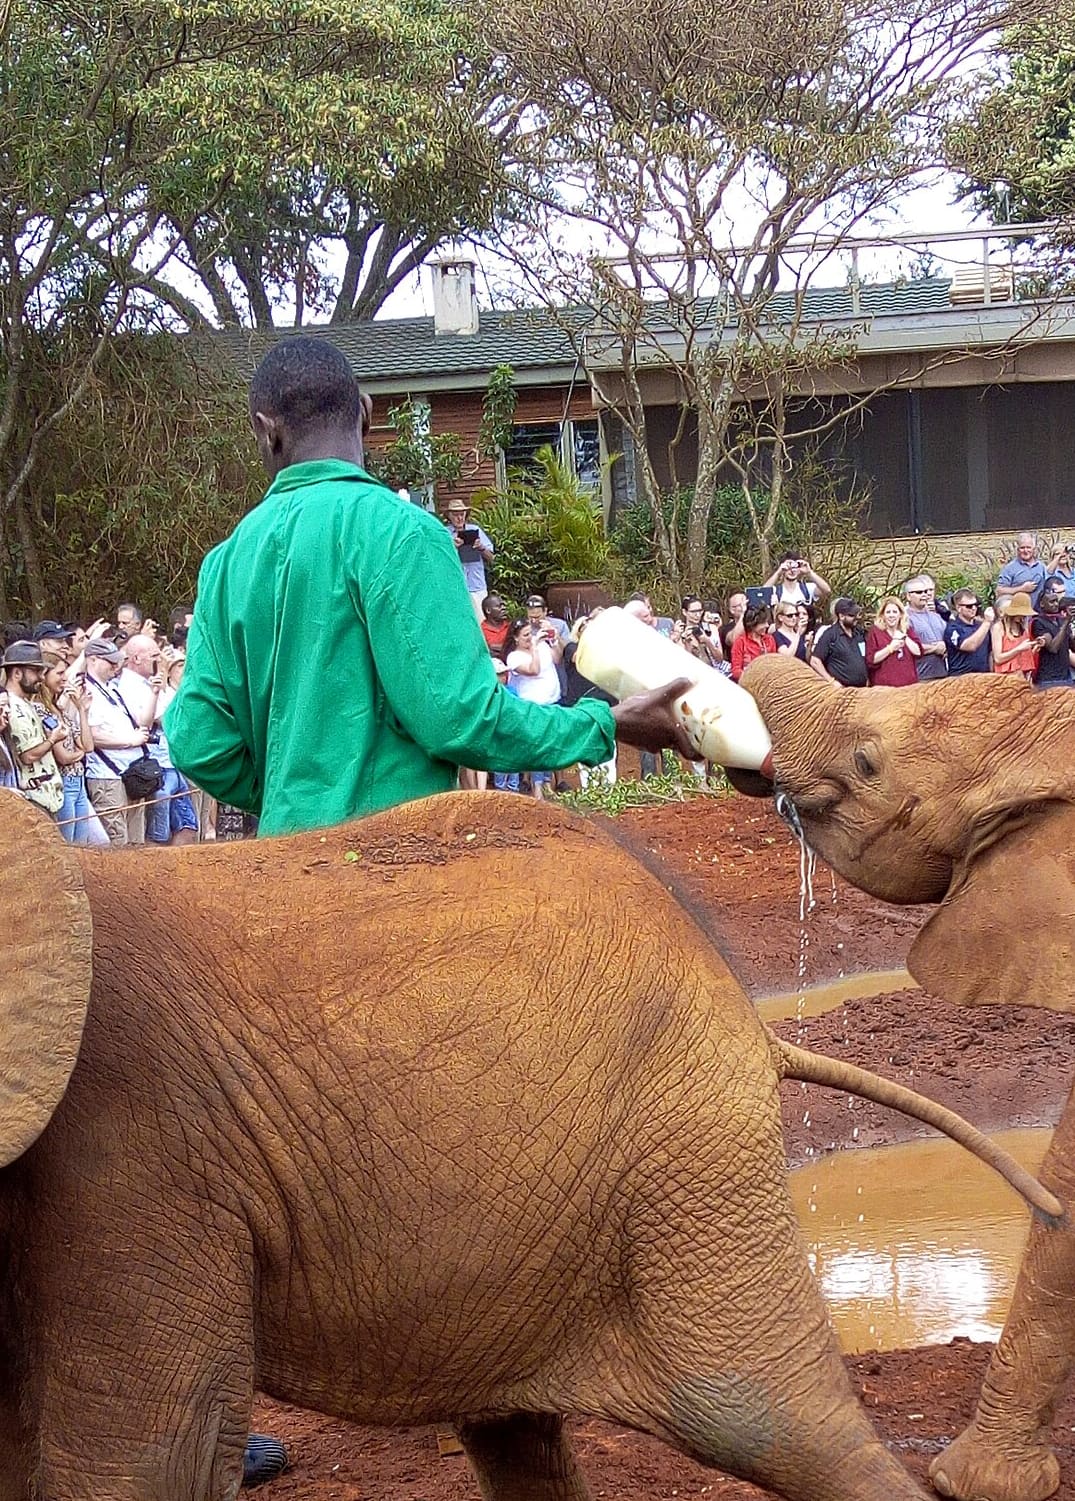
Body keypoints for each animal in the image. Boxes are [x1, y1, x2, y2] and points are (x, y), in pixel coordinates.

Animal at [0, 785, 1057, 1501]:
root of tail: (753, 1019)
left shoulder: (138, 1149)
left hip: (690, 1160)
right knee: (522, 1437)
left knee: (769, 1419)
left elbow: (143, 1460)